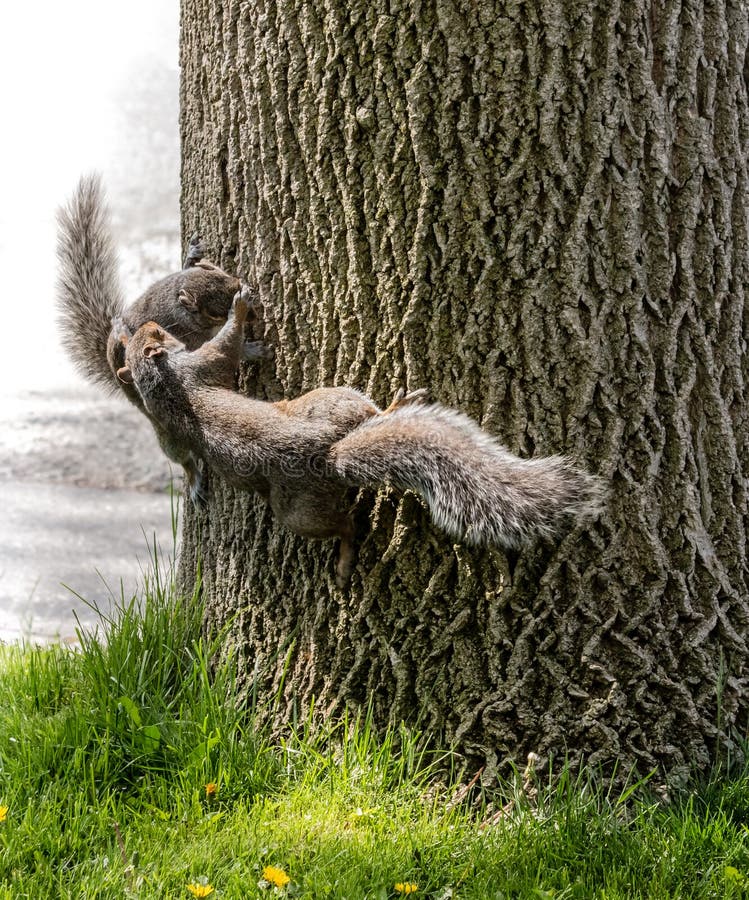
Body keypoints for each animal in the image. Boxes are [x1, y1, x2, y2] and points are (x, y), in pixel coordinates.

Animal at [56, 174, 270, 501]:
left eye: (225, 272)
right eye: (216, 311)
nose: (254, 303)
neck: (177, 303)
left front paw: (192, 254)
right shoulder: (188, 337)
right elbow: (214, 349)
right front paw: (250, 347)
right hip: (166, 432)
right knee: (182, 458)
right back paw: (193, 480)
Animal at [113, 289, 603, 587]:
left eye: (152, 331)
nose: (149, 323)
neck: (164, 384)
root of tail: (330, 455)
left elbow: (182, 450)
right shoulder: (203, 366)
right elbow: (227, 345)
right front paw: (239, 310)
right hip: (315, 461)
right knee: (348, 518)